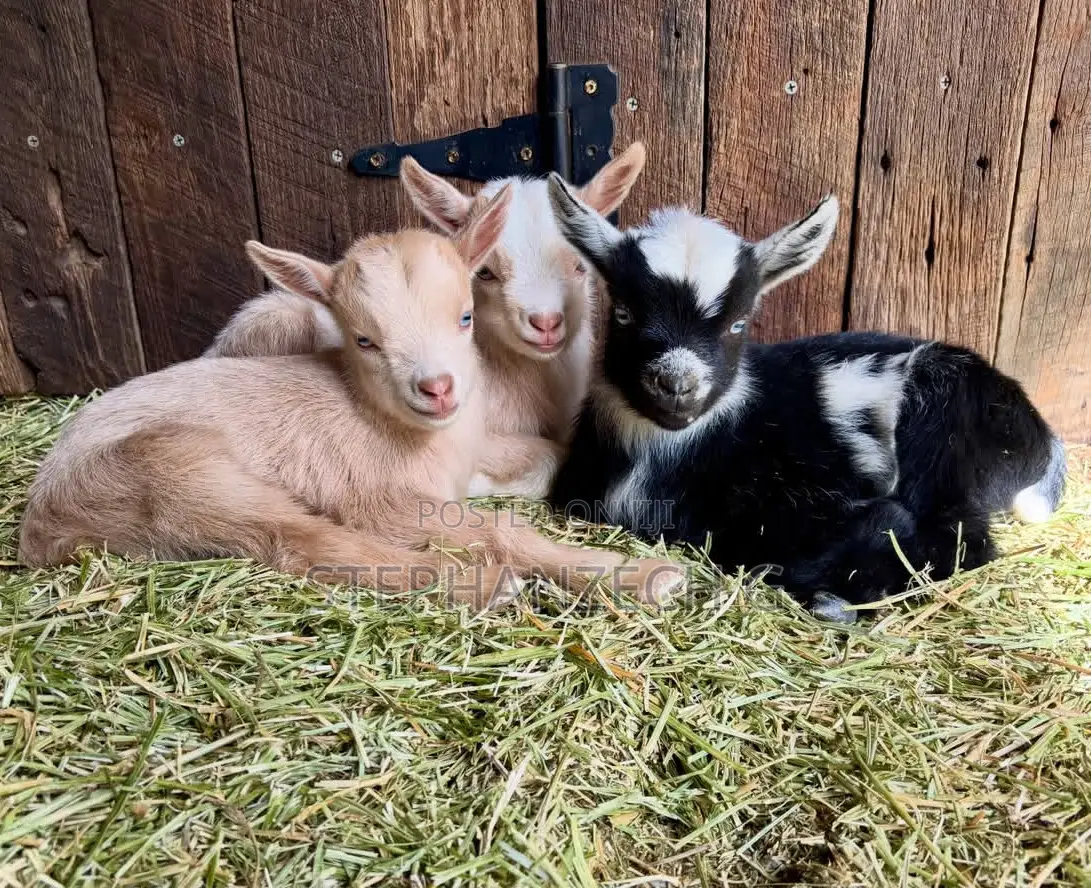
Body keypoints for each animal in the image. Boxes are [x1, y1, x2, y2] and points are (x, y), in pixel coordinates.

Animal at [19, 188, 686, 609]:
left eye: (465, 316)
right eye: (363, 339)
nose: (437, 387)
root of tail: (41, 521)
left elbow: (541, 460)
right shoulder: (372, 493)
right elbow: (497, 529)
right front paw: (643, 575)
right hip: (172, 473)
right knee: (297, 541)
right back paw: (480, 585)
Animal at [544, 175, 1065, 620]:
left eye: (738, 324)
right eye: (623, 313)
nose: (677, 386)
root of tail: (1041, 436)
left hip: (943, 423)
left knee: (962, 537)